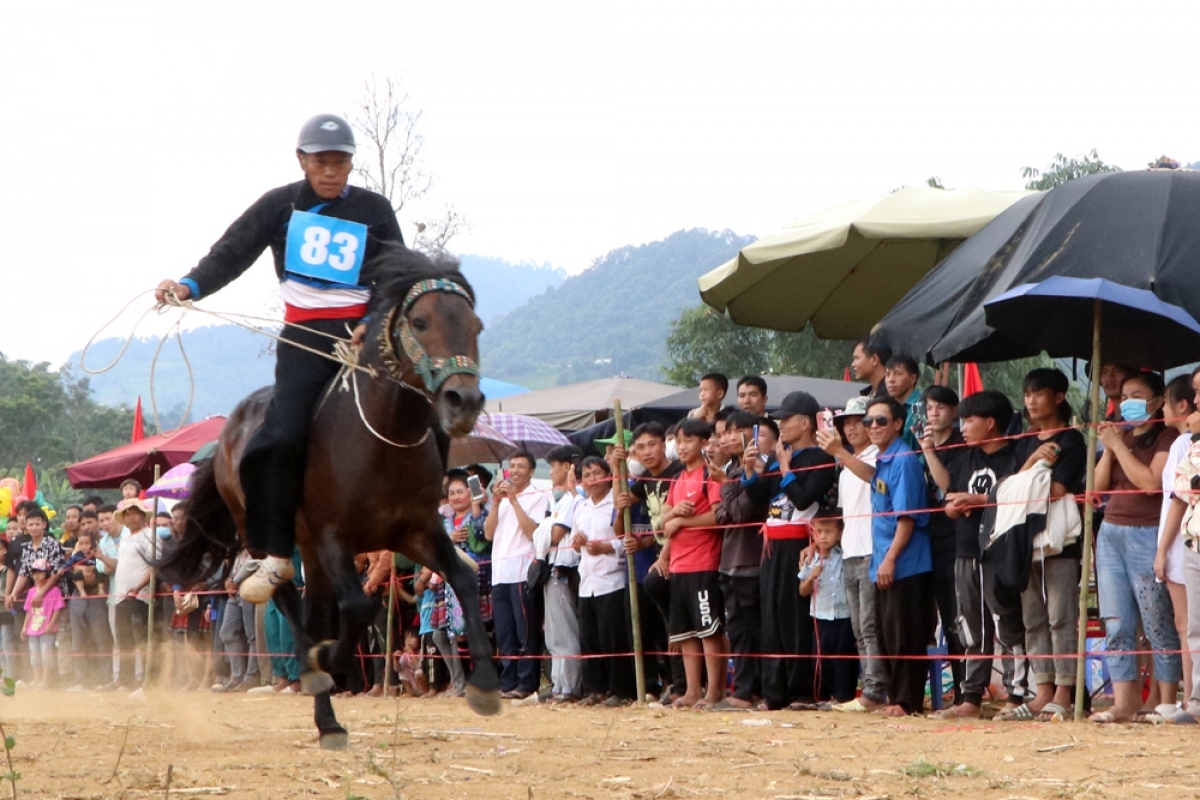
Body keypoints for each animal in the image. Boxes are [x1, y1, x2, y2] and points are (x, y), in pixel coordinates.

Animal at [162, 245, 499, 753]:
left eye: (476, 325)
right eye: (420, 322)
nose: (464, 400)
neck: (382, 439)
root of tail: (227, 431)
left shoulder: (415, 532)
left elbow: (460, 575)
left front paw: (483, 687)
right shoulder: (332, 537)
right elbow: (357, 607)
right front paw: (326, 661)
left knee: (312, 610)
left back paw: (327, 714)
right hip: (266, 531)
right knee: (285, 594)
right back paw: (317, 680)